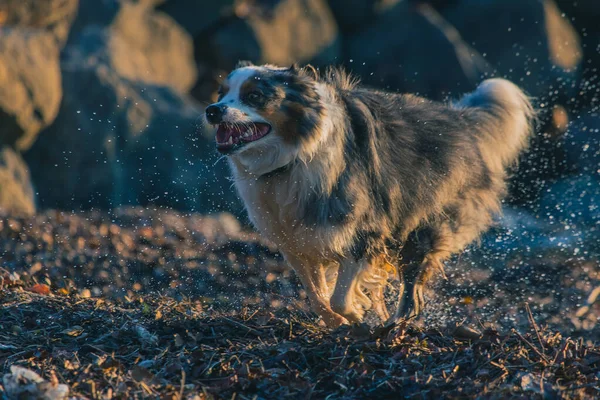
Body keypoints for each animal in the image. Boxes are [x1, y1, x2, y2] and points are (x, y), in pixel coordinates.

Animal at [204, 61, 532, 326]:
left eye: (254, 96)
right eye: (220, 94)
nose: (212, 110)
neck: (290, 160)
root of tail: (461, 119)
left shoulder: (363, 230)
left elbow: (339, 296)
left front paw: (356, 315)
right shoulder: (295, 240)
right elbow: (316, 294)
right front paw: (337, 323)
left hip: (425, 222)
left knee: (413, 285)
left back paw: (398, 324)